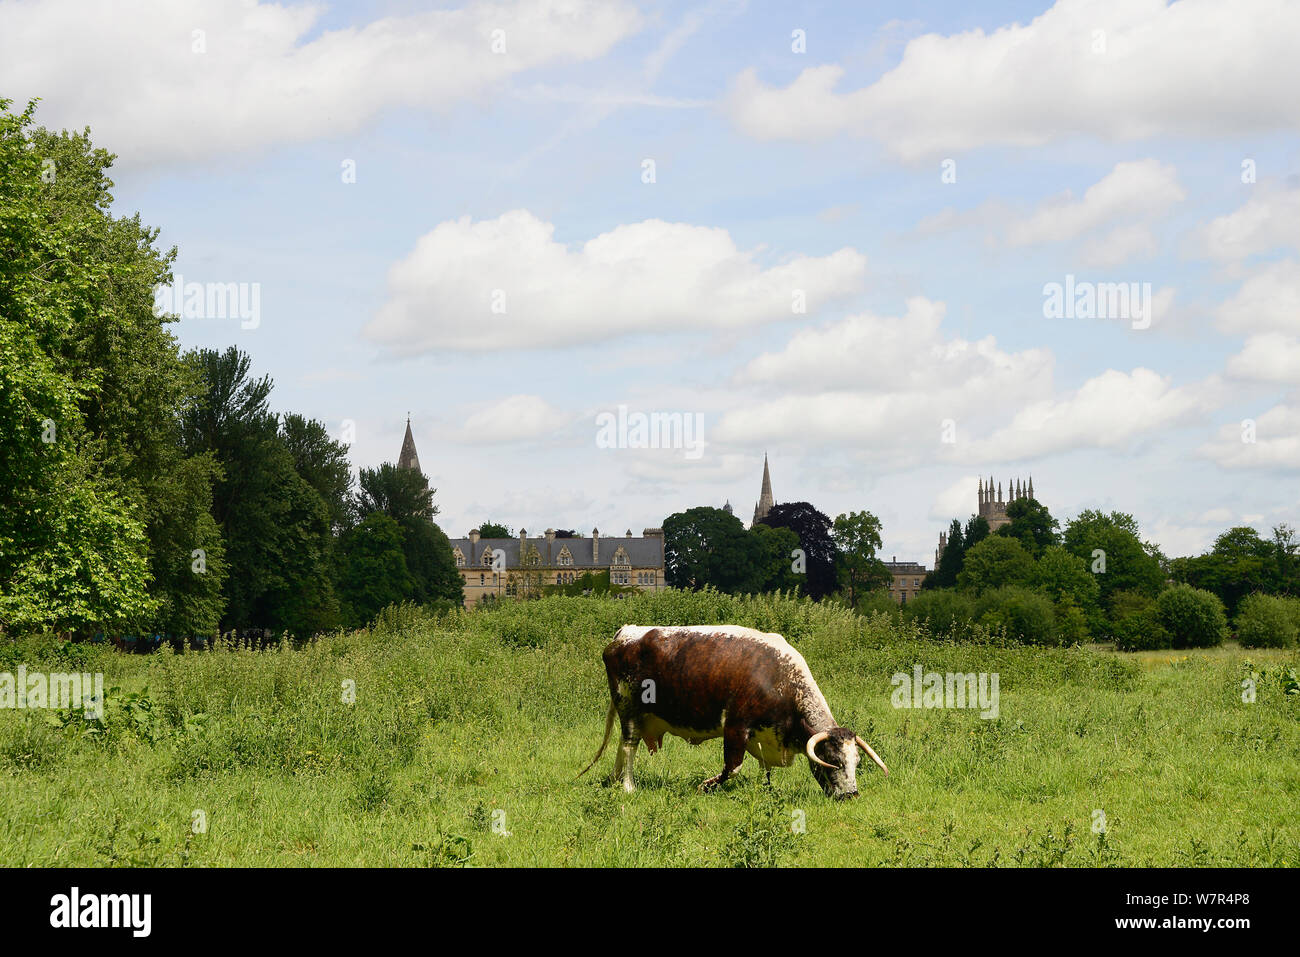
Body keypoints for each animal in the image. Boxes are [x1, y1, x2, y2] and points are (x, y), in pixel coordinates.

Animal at [577, 624, 889, 795]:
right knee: (629, 746)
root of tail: (627, 632)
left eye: (856, 762)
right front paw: (705, 786)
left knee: (623, 745)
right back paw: (628, 787)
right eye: (833, 761)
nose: (851, 795)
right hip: (628, 707)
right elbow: (733, 767)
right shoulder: (736, 726)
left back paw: (615, 780)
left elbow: (764, 770)